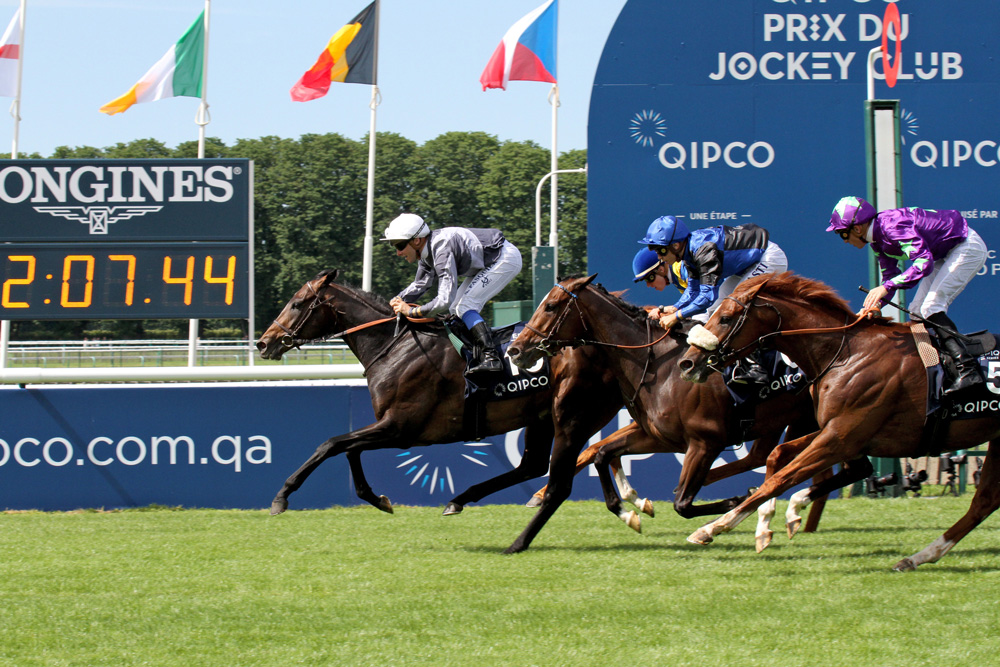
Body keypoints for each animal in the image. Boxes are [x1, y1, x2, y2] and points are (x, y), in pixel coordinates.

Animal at [254, 268, 624, 552]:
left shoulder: (401, 428)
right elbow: (348, 450)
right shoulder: (392, 428)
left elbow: (330, 445)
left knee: (559, 481)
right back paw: (460, 499)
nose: (263, 342)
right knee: (532, 466)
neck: (396, 346)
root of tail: (603, 344)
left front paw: (281, 497)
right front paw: (378, 499)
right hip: (543, 417)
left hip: (573, 417)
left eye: (297, 303)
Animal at [508, 274, 860, 552]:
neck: (658, 367)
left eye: (551, 306)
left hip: (829, 424)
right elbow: (603, 454)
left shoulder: (705, 442)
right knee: (816, 463)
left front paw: (729, 506)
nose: (517, 349)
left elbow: (683, 506)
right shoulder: (659, 436)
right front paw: (632, 511)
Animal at [680, 274, 1000, 572]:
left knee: (984, 501)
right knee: (984, 501)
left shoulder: (841, 437)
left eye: (725, 318)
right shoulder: (835, 431)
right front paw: (771, 523)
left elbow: (779, 479)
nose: (688, 362)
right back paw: (918, 557)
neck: (846, 354)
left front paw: (712, 528)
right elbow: (778, 458)